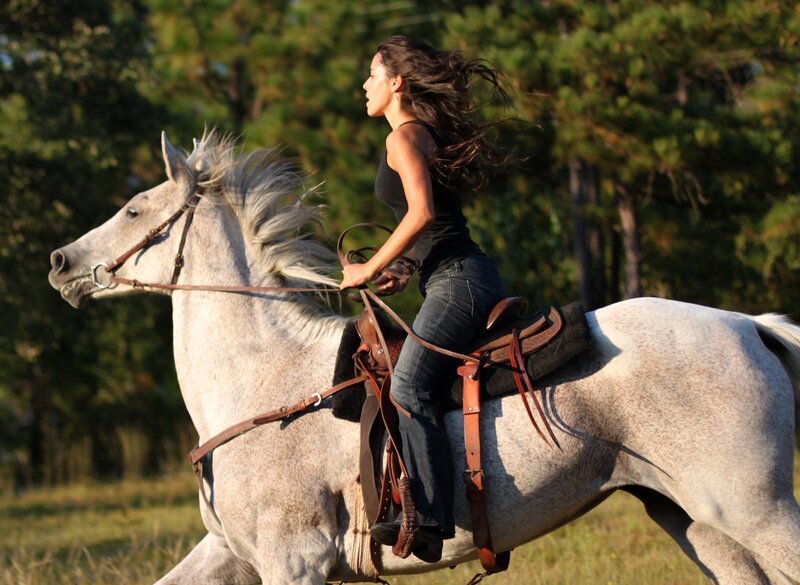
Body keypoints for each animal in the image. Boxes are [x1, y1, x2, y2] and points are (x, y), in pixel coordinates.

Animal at [48, 132, 800, 585]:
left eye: (135, 208)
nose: (60, 262)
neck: (266, 380)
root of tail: (749, 325)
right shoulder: (235, 553)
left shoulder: (293, 559)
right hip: (695, 520)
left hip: (755, 509)